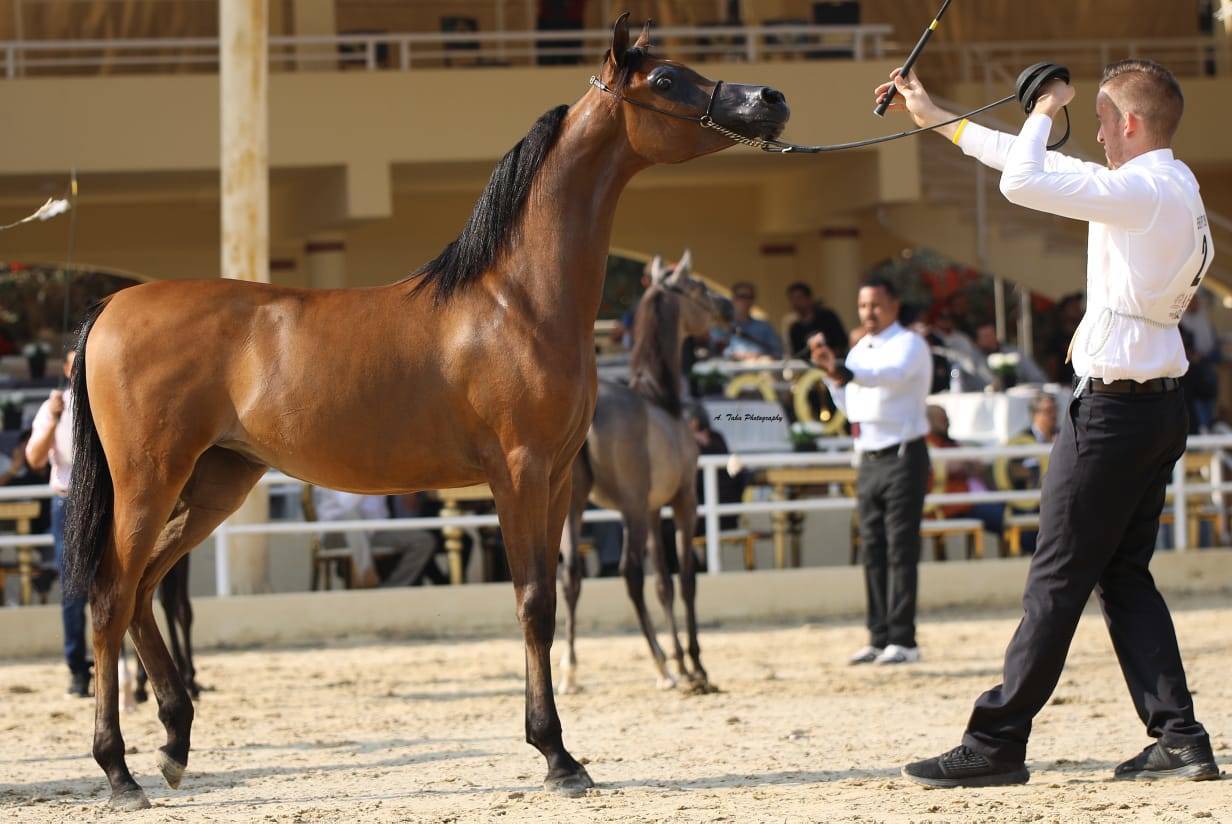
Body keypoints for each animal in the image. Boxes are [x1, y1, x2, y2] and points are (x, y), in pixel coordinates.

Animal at [558, 250, 721, 694]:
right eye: (699, 287)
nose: (727, 309)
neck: (659, 399)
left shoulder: (651, 510)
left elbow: (664, 584)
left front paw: (685, 663)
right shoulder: (682, 502)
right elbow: (685, 580)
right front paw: (695, 667)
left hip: (572, 507)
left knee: (571, 577)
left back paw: (570, 671)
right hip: (629, 511)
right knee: (629, 574)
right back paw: (662, 666)